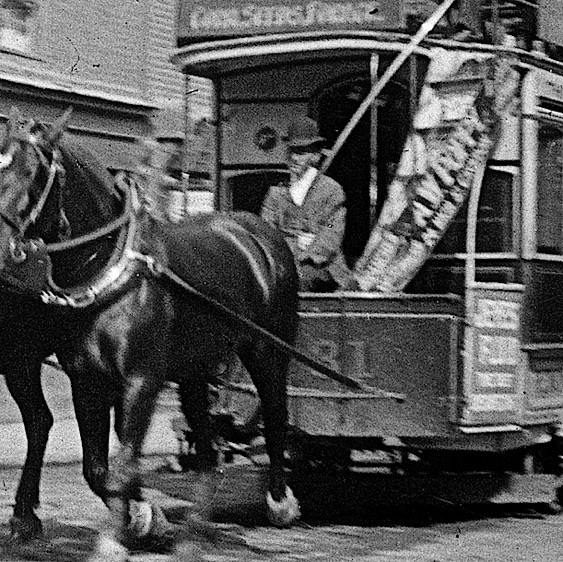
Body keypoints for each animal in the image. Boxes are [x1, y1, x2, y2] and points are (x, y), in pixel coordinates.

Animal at [0, 108, 302, 556]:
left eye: (34, 173)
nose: (2, 248)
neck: (109, 264)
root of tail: (259, 230)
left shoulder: (143, 379)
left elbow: (123, 464)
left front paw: (118, 537)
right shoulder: (87, 380)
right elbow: (98, 467)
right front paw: (142, 520)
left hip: (267, 349)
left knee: (277, 415)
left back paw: (279, 502)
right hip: (194, 368)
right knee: (206, 444)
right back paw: (196, 527)